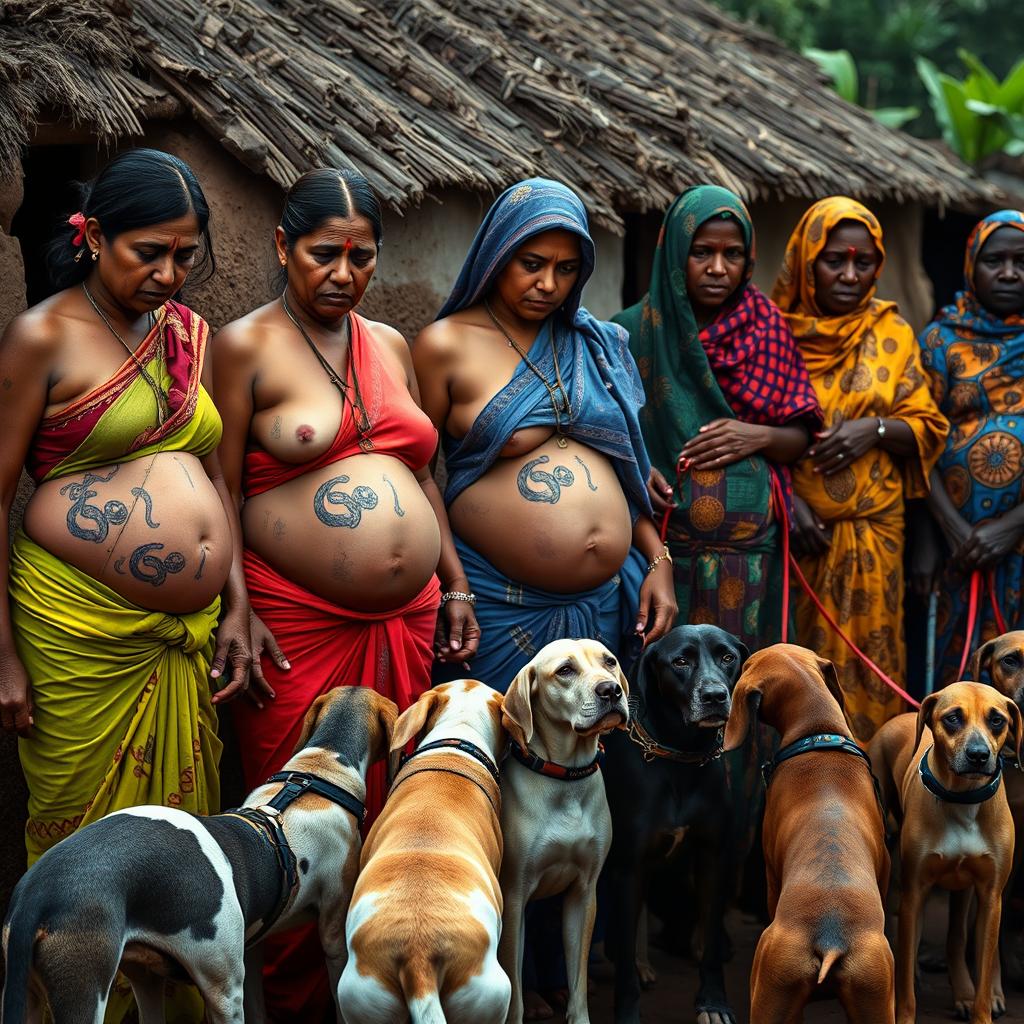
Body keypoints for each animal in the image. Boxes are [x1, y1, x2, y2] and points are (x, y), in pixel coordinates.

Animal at [497, 638, 630, 1024]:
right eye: (565, 670)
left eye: (610, 662)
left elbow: (578, 979)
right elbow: (514, 988)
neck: (566, 778)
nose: (611, 690)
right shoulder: (514, 897)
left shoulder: (583, 895)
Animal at [602, 622, 749, 1024]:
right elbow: (623, 956)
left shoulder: (714, 856)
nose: (715, 696)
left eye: (728, 657)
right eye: (680, 661)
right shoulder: (629, 866)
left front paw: (714, 1003)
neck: (682, 754)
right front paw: (628, 1011)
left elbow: (711, 940)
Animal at [868, 679, 1019, 1024]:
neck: (963, 799)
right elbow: (905, 979)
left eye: (997, 720)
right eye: (952, 718)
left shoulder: (990, 897)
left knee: (957, 938)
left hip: (964, 890)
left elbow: (983, 966)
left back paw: (963, 992)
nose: (978, 755)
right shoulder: (914, 893)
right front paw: (903, 1013)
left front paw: (981, 1007)